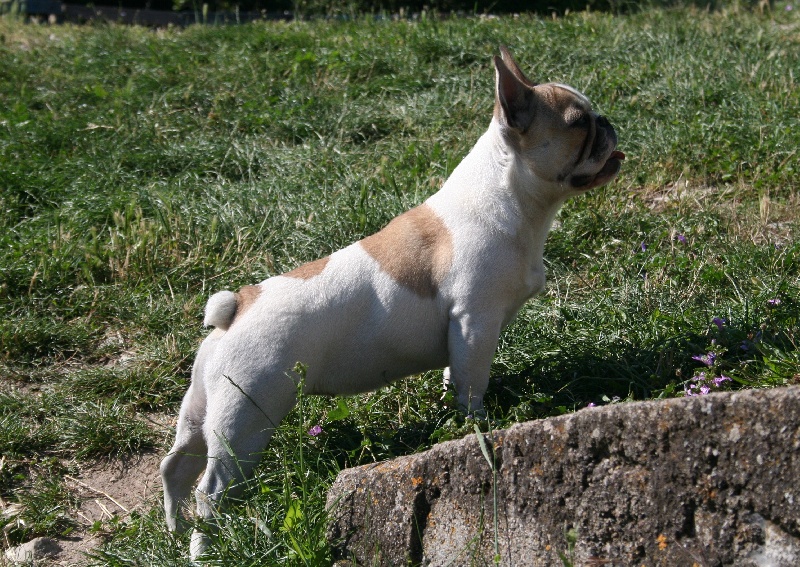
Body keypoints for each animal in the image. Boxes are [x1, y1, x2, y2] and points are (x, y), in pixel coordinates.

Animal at [161, 45, 620, 560]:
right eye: (578, 122)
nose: (607, 122)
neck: (510, 195)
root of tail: (236, 309)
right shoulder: (476, 322)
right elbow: (472, 385)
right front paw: (479, 425)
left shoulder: (463, 334)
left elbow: (455, 377)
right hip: (245, 421)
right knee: (210, 491)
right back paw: (205, 550)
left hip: (201, 410)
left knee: (175, 466)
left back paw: (175, 530)